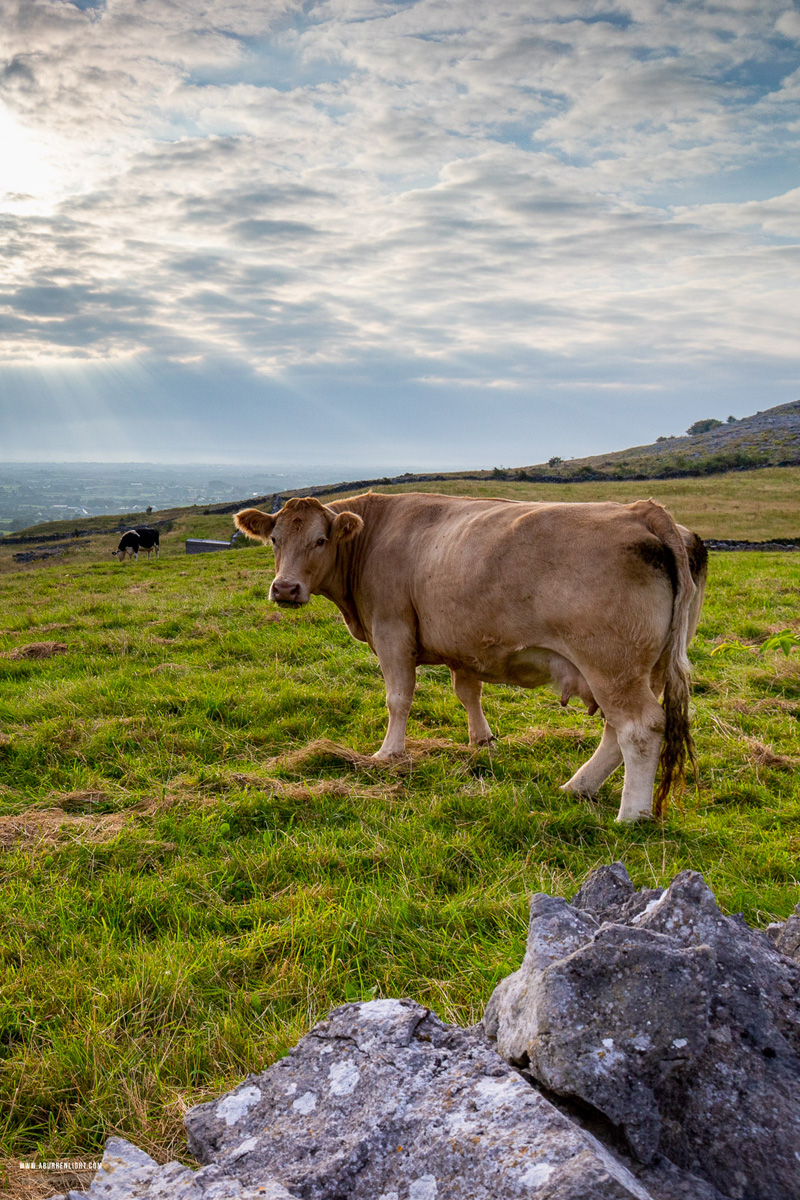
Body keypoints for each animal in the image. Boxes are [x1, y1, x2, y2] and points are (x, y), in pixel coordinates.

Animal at [232, 492, 705, 820]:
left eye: (320, 540)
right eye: (274, 539)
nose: (285, 588)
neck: (374, 536)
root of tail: (642, 510)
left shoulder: (392, 630)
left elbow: (398, 698)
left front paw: (388, 754)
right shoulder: (465, 646)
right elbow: (468, 693)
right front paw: (482, 740)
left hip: (611, 664)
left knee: (639, 728)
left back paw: (631, 815)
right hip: (646, 668)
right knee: (617, 730)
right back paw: (578, 787)